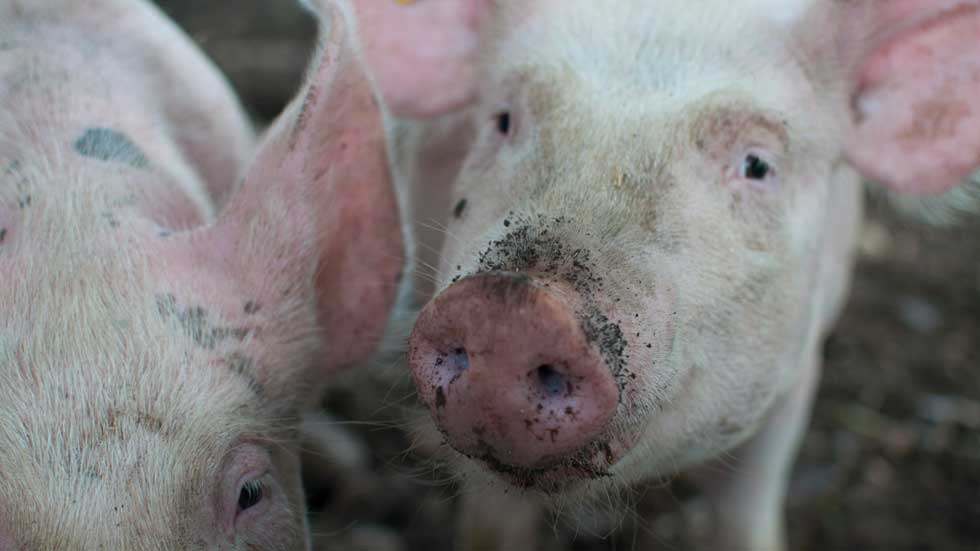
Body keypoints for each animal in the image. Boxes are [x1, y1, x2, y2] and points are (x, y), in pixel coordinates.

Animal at [348, 0, 980, 548]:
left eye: (757, 165)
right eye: (502, 121)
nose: (513, 306)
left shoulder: (798, 369)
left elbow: (745, 515)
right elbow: (492, 526)